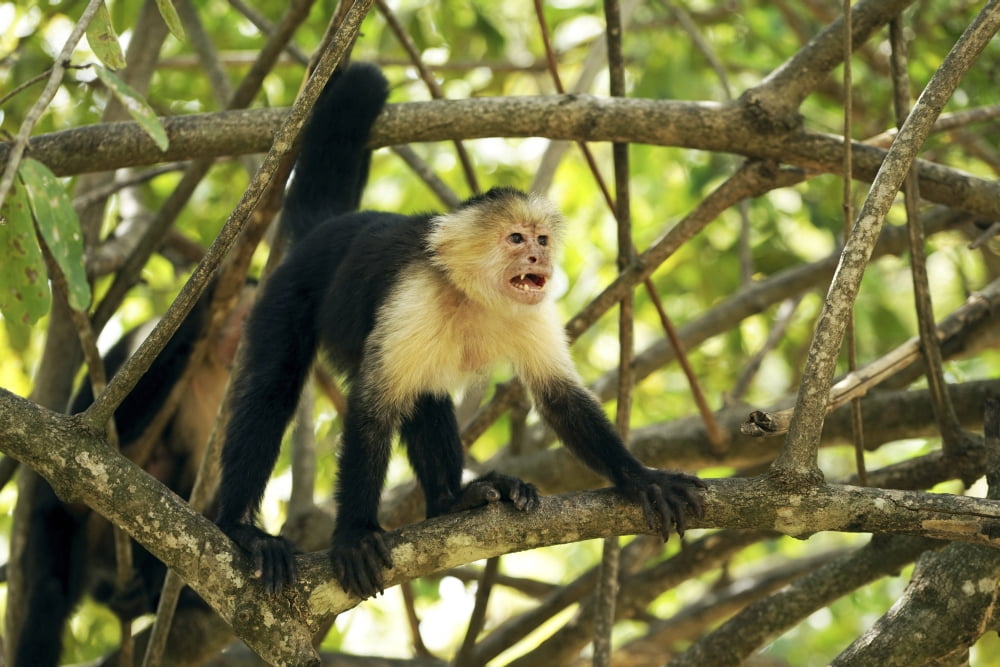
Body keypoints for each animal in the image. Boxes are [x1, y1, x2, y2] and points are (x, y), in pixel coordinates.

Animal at [12, 279, 253, 667]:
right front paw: (199, 311)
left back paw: (153, 595)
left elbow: (193, 510)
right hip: (57, 523)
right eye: (246, 318)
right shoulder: (156, 342)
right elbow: (102, 433)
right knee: (49, 591)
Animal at [215, 62, 705, 600]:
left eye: (541, 239)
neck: (476, 297)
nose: (539, 258)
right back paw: (240, 529)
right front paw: (355, 534)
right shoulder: (413, 297)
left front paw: (641, 478)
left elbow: (560, 398)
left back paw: (451, 502)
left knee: (425, 397)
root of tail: (329, 230)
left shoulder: (533, 313)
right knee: (273, 391)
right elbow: (372, 408)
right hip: (286, 293)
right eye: (515, 238)